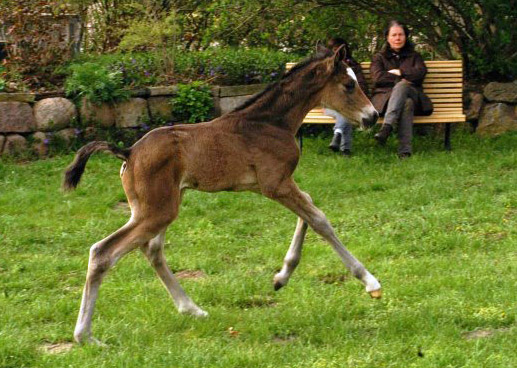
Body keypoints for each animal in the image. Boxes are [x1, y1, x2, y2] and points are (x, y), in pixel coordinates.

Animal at [63, 49, 378, 344]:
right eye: (349, 84)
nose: (372, 116)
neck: (270, 123)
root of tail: (128, 152)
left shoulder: (271, 185)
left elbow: (309, 209)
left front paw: (280, 278)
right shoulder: (275, 185)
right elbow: (320, 219)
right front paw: (370, 282)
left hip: (156, 208)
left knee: (151, 250)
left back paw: (192, 309)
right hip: (157, 211)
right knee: (103, 252)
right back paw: (85, 336)